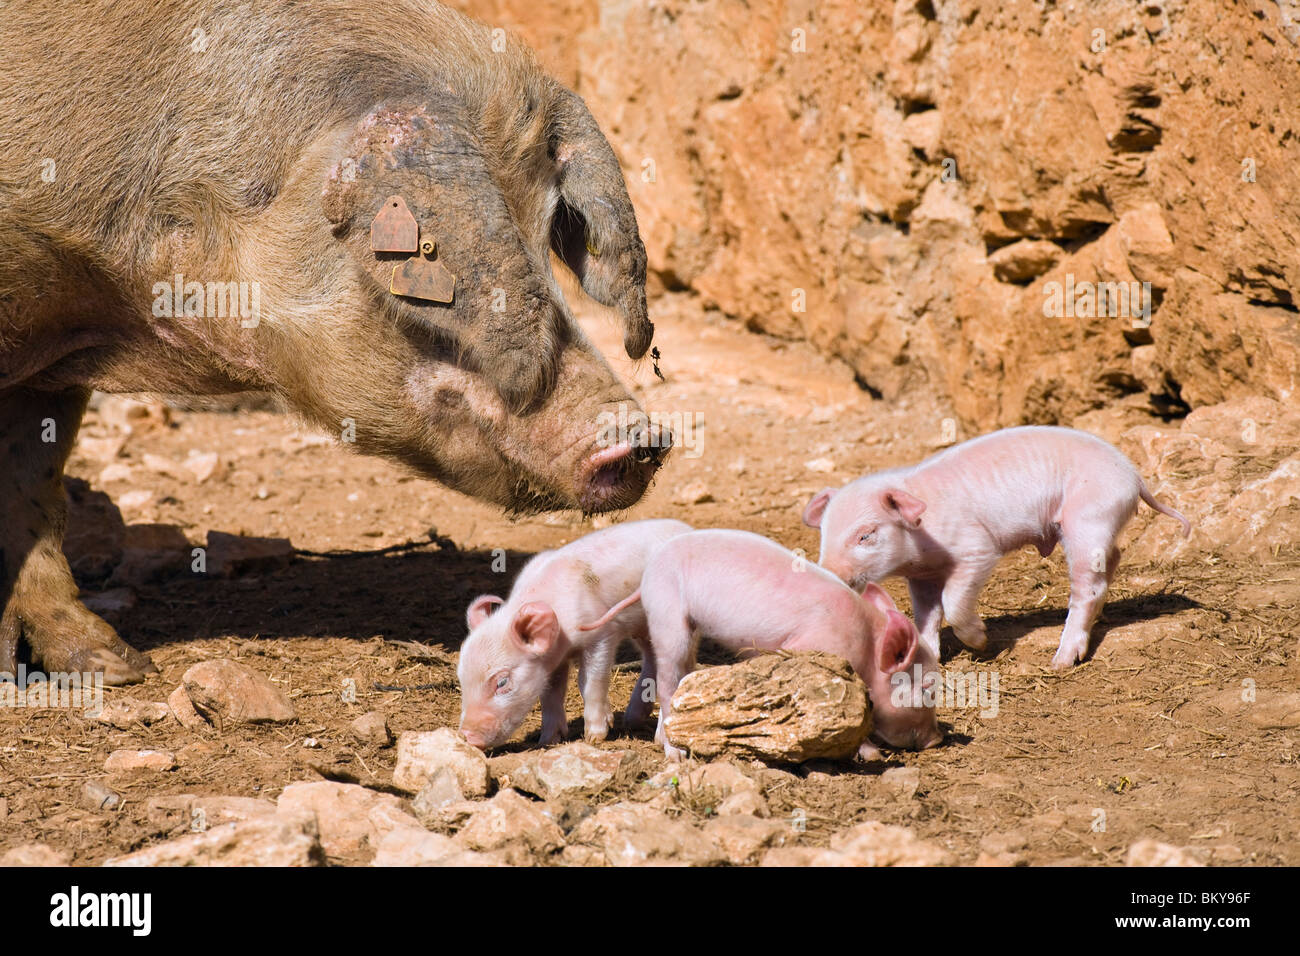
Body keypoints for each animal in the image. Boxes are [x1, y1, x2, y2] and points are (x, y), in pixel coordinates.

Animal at [457, 519, 692, 750]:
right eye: (461, 678)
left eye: (502, 682)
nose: (467, 736)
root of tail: (688, 529)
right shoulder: (554, 658)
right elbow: (551, 692)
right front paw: (548, 740)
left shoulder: (601, 634)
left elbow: (589, 681)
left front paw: (595, 736)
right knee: (652, 658)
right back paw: (632, 720)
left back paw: (658, 739)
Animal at [582, 529, 943, 760]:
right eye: (928, 688)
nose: (936, 741)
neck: (865, 644)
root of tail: (649, 572)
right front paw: (871, 755)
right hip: (667, 614)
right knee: (668, 680)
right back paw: (675, 755)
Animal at [802, 426, 1192, 670]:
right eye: (824, 533)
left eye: (865, 535)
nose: (828, 573)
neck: (921, 545)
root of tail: (1134, 476)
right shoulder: (922, 575)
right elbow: (927, 615)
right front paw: (926, 656)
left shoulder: (976, 549)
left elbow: (953, 602)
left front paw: (981, 643)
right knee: (1112, 560)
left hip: (1089, 518)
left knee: (1088, 586)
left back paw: (1060, 661)